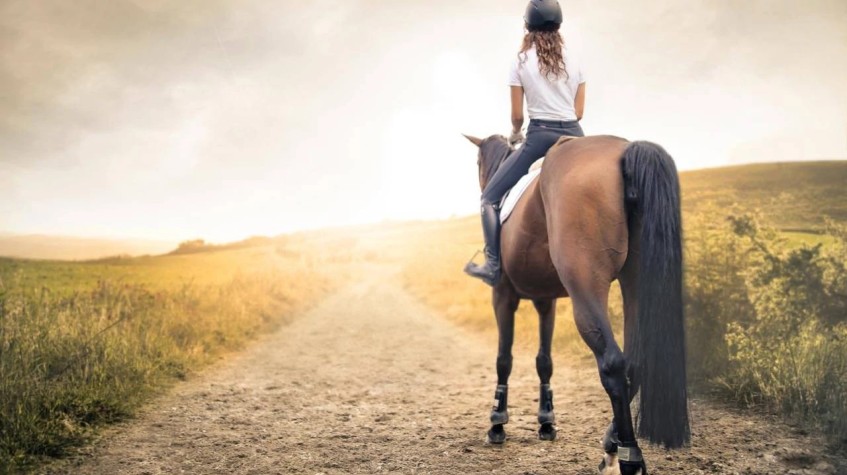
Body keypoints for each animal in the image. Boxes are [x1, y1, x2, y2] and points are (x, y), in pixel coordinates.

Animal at [462, 133, 689, 475]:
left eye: (477, 162)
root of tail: (625, 150)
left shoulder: (502, 296)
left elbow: (504, 359)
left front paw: (497, 422)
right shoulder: (545, 300)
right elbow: (544, 361)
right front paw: (546, 421)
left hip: (586, 286)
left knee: (612, 363)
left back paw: (627, 456)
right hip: (635, 279)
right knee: (635, 362)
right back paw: (611, 444)